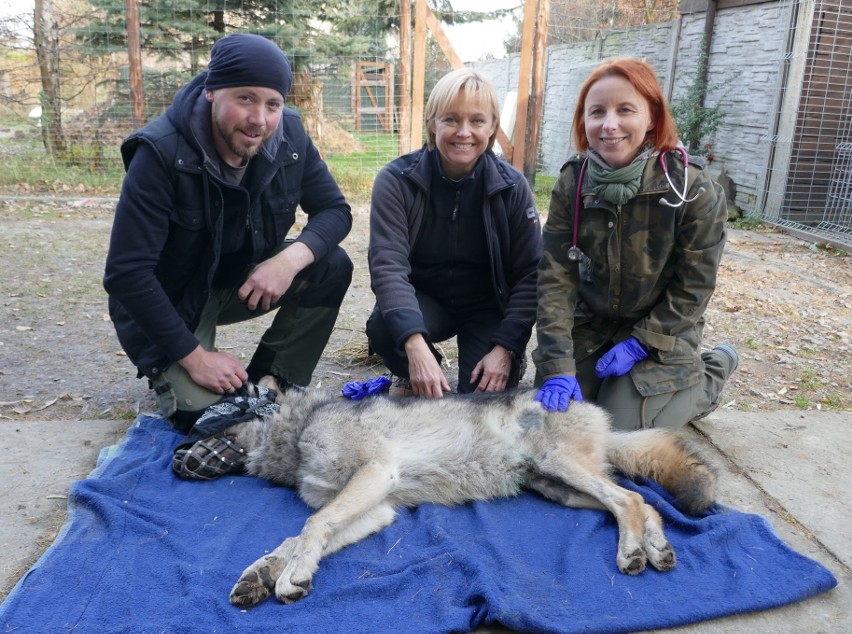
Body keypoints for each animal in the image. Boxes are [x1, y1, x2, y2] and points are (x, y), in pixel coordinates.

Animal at [193, 388, 720, 604]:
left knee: (630, 500)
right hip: (559, 490)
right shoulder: (379, 509)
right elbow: (297, 540)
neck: (299, 426)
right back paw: (656, 549)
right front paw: (263, 573)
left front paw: (289, 578)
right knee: (640, 502)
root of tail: (589, 405)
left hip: (561, 468)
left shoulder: (376, 475)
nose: (184, 440)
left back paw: (633, 553)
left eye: (222, 404)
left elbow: (309, 527)